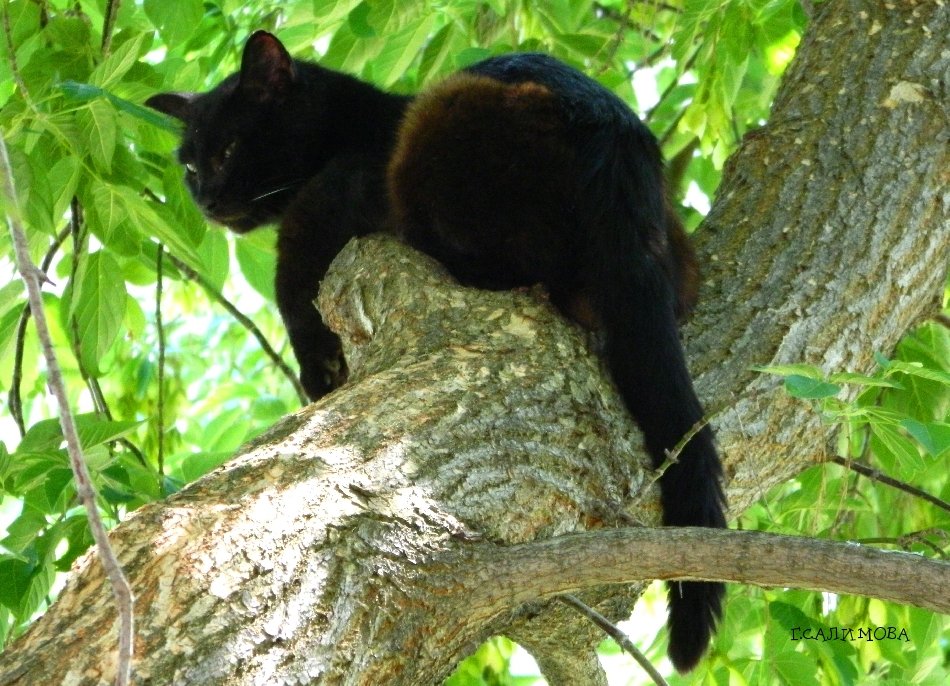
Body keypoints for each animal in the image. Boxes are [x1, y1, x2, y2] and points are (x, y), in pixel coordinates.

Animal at [147, 30, 728, 672]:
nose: (204, 197)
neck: (347, 131)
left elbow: (293, 288)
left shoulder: (324, 212)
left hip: (444, 112)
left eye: (227, 149)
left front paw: (320, 370)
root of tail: (617, 136)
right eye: (190, 165)